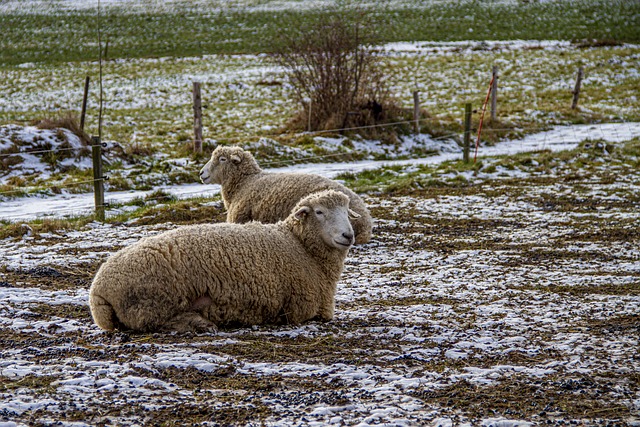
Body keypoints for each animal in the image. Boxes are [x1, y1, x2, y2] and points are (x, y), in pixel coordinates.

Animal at [89, 191, 360, 334]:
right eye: (319, 212)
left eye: (347, 212)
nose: (348, 235)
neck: (300, 247)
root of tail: (98, 290)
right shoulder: (299, 309)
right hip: (154, 300)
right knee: (159, 322)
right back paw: (201, 323)